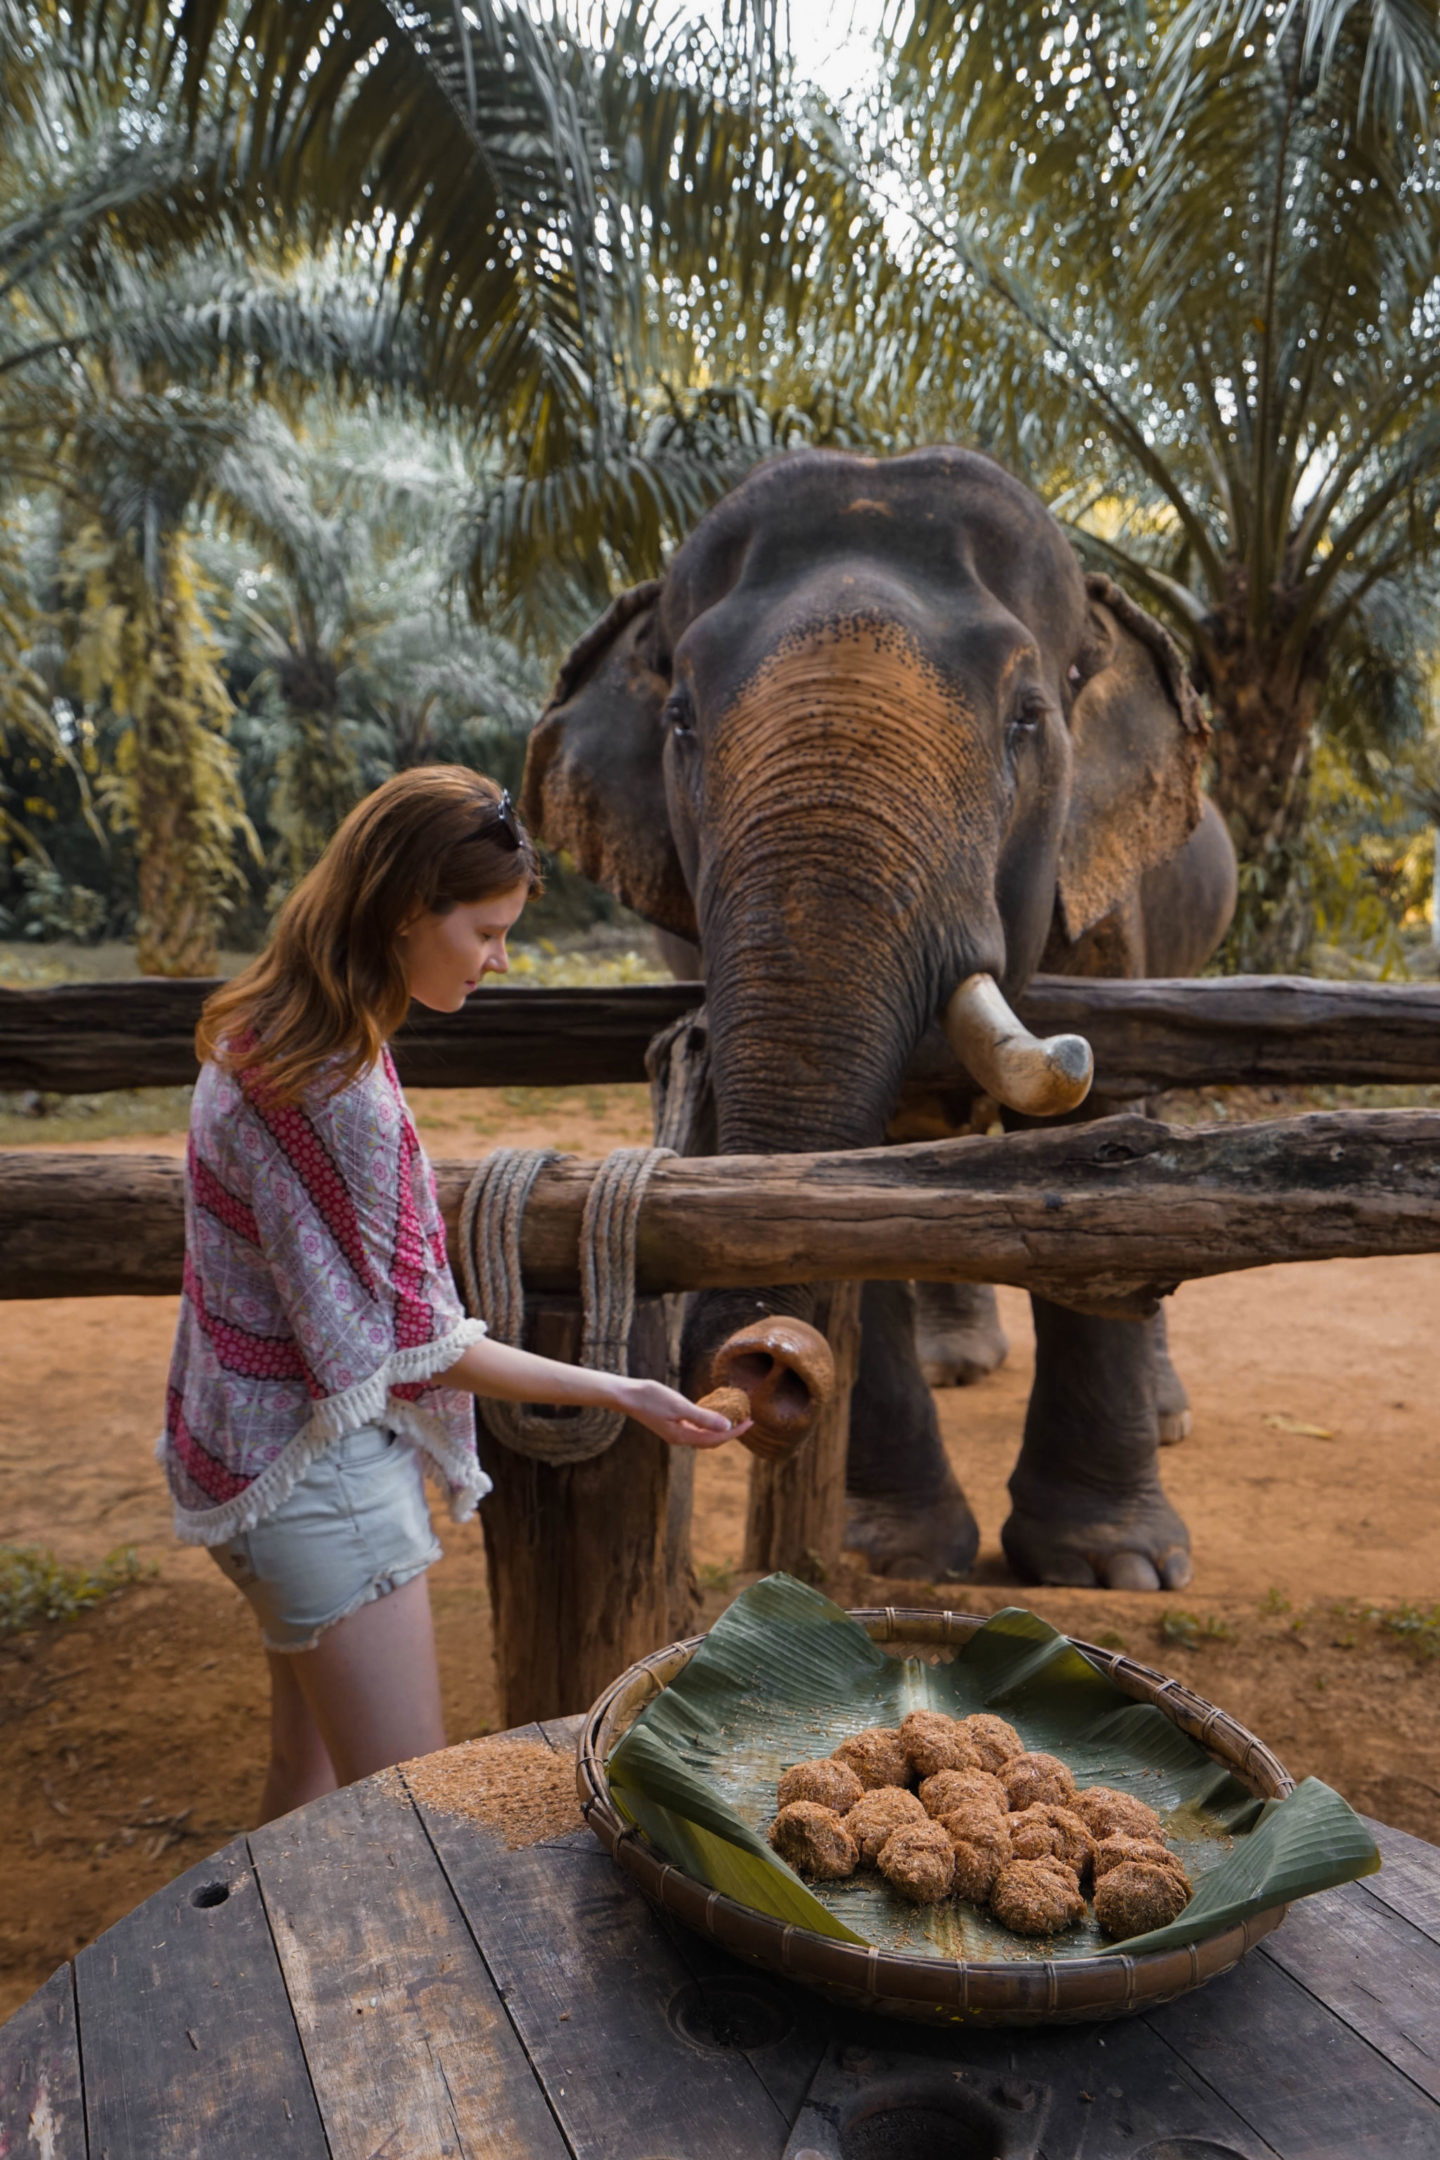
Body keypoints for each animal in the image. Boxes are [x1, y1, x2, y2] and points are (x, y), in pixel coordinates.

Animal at [520, 442, 1243, 1589]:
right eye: (680, 719)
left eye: (1027, 716)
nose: (759, 1359)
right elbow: (848, 1201)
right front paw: (902, 1557)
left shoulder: (1101, 906)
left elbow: (1108, 1145)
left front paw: (1111, 1569)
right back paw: (958, 1363)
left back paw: (1162, 1415)